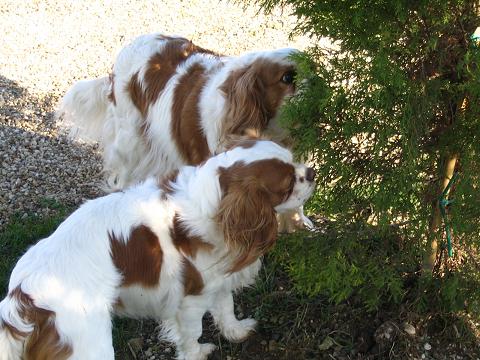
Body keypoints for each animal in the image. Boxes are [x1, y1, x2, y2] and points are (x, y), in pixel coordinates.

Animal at [0, 140, 316, 360]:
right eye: (288, 184)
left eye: (294, 159)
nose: (312, 172)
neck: (213, 204)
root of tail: (23, 298)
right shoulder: (191, 298)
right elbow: (193, 332)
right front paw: (196, 354)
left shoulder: (217, 280)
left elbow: (226, 308)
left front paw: (236, 332)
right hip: (88, 344)